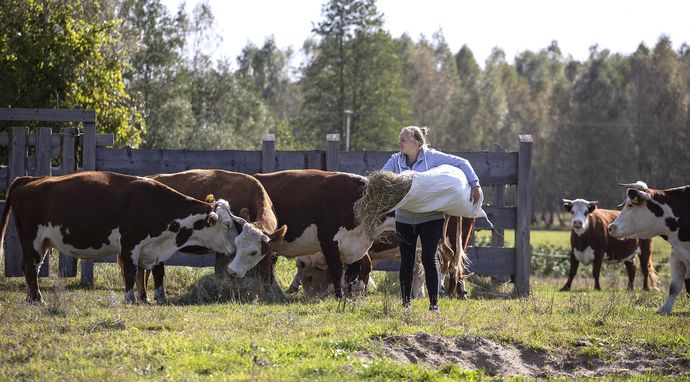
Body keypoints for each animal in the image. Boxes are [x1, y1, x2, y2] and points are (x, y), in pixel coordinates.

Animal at [0, 172, 242, 302]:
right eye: (227, 224)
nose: (235, 248)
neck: (154, 204)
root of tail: (29, 179)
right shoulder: (130, 244)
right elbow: (131, 272)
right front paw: (130, 298)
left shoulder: (153, 248)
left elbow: (155, 273)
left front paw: (153, 298)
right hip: (32, 240)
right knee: (30, 266)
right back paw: (37, 299)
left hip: (41, 243)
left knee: (33, 268)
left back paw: (32, 297)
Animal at [139, 169, 284, 302]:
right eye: (237, 244)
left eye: (254, 252)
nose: (233, 271)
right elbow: (219, 270)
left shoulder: (269, 246)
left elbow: (266, 269)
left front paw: (268, 294)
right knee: (154, 270)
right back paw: (153, 297)